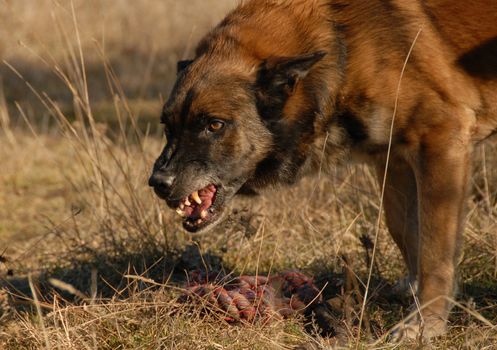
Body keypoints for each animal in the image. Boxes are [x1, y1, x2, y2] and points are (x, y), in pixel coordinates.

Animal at [149, 0, 496, 340]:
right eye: (167, 126)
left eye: (215, 125)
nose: (158, 182)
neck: (343, 42)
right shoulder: (394, 159)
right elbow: (405, 231)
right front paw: (412, 289)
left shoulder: (441, 143)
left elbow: (434, 252)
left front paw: (426, 322)